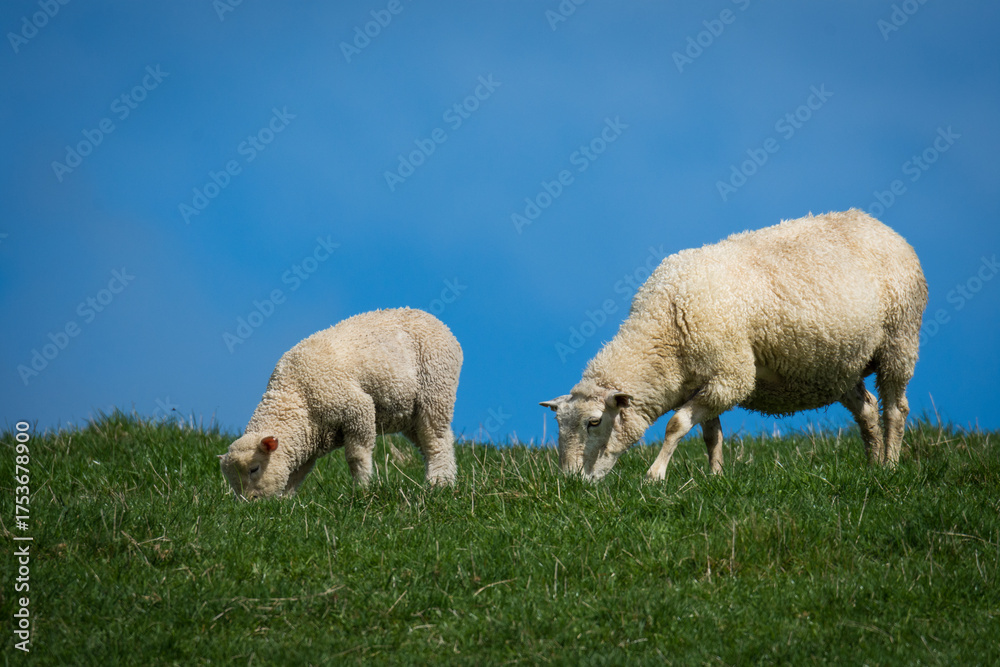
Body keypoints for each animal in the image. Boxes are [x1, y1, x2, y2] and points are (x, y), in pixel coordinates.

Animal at [219, 307, 463, 498]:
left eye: (254, 469)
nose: (249, 503)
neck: (295, 395)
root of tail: (441, 324)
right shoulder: (308, 438)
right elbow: (298, 471)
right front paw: (285, 501)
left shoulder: (357, 408)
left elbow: (356, 456)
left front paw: (363, 488)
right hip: (410, 414)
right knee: (437, 441)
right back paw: (448, 481)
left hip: (436, 389)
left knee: (435, 441)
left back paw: (437, 482)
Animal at [541, 210, 928, 482]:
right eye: (558, 425)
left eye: (593, 422)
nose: (571, 481)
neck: (666, 320)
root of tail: (878, 224)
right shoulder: (702, 382)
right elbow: (711, 434)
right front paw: (716, 477)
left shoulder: (731, 376)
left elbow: (676, 425)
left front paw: (655, 476)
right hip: (839, 366)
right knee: (868, 410)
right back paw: (873, 463)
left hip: (900, 339)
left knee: (895, 409)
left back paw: (891, 465)